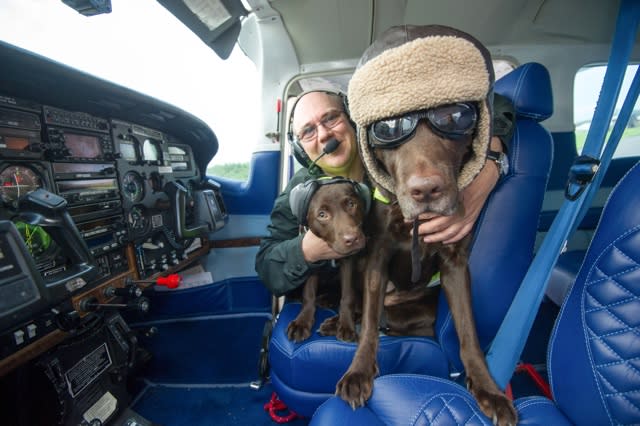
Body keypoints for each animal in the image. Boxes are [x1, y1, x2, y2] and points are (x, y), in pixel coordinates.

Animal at [286, 176, 370, 342]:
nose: (352, 239)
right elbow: (309, 293)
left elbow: (347, 296)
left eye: (351, 204)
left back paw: (333, 322)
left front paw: (346, 325)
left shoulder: (348, 263)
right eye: (322, 214)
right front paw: (302, 322)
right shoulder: (310, 258)